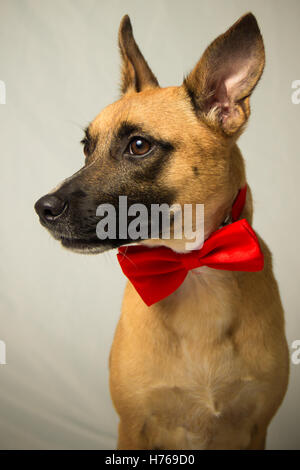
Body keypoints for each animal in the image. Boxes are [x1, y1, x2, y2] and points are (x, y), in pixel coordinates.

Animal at [35, 12, 288, 450]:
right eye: (86, 147)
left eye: (139, 145)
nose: (43, 208)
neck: (194, 269)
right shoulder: (134, 425)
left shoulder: (257, 427)